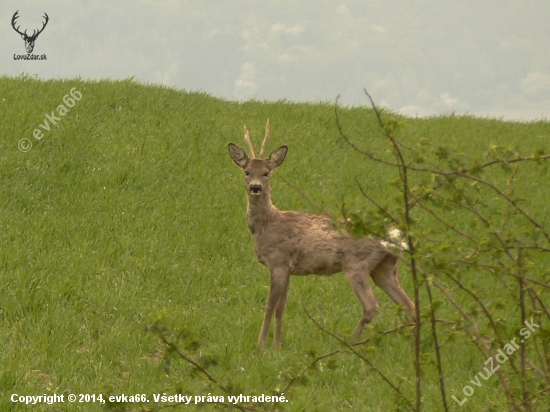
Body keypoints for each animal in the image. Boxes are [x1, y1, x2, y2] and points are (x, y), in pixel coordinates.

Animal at [227, 120, 414, 350]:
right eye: (246, 171)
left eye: (266, 172)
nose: (255, 187)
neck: (268, 224)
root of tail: (395, 234)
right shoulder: (288, 268)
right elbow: (281, 308)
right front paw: (278, 345)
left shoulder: (278, 262)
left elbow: (269, 306)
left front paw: (261, 345)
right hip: (385, 268)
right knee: (409, 304)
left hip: (356, 264)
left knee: (372, 305)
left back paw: (350, 342)